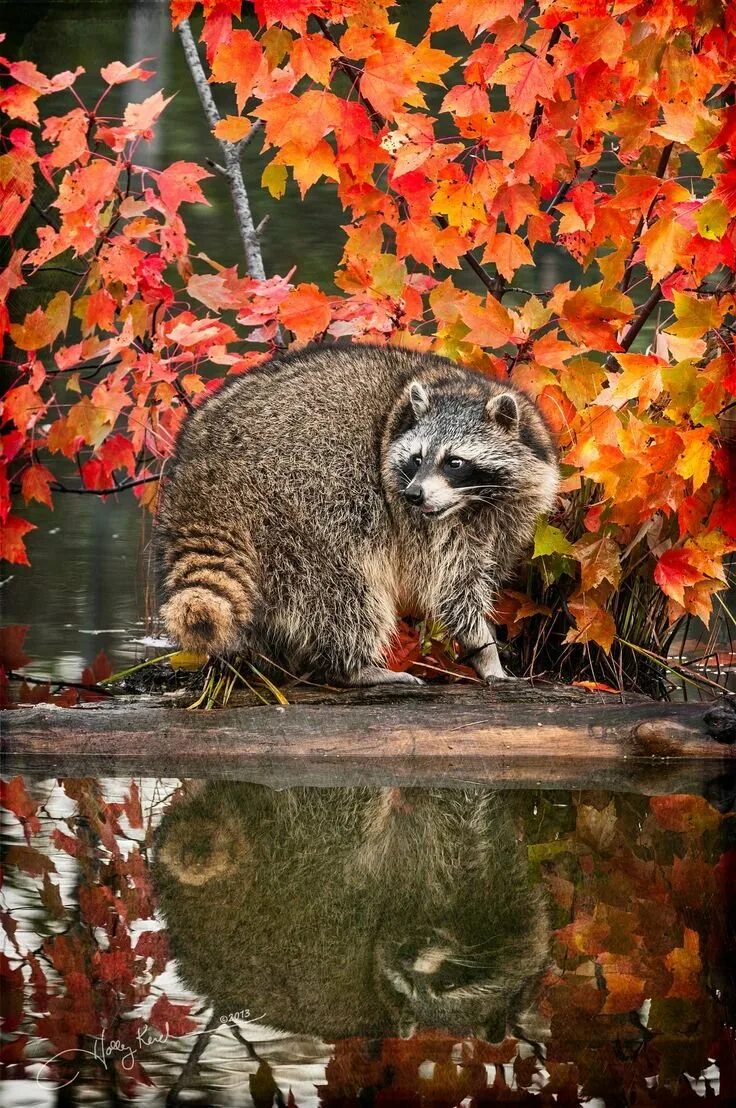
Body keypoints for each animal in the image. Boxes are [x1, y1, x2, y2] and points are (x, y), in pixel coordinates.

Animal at [156, 341, 558, 678]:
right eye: (417, 458)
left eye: (454, 462)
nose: (414, 494)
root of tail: (201, 473)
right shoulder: (427, 528)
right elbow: (452, 590)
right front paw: (485, 649)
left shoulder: (508, 511)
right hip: (307, 494)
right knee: (345, 585)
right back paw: (354, 666)